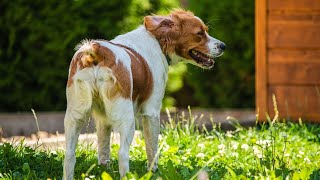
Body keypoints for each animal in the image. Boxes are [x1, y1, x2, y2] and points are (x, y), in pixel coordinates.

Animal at [63, 9, 225, 179]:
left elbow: (103, 150)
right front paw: (154, 172)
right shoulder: (151, 112)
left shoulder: (103, 119)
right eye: (200, 33)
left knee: (69, 156)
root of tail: (97, 51)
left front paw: (104, 170)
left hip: (75, 116)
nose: (223, 46)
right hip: (127, 119)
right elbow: (152, 148)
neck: (158, 41)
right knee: (122, 154)